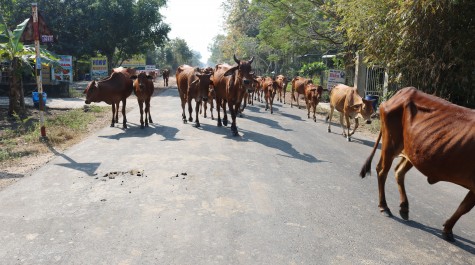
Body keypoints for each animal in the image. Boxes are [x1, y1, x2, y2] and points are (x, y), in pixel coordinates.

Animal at [360, 87, 475, 241]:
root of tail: (402, 92)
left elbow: (463, 207)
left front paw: (447, 228)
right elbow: (464, 208)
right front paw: (448, 230)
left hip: (413, 152)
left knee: (398, 171)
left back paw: (404, 207)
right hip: (391, 144)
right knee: (382, 170)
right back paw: (384, 206)